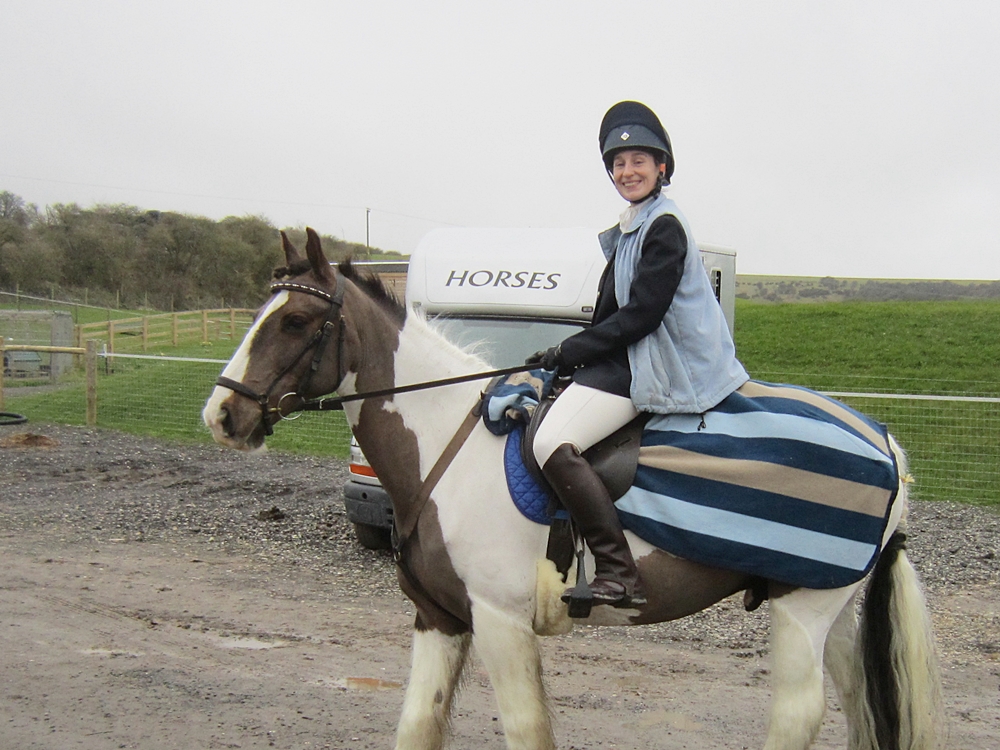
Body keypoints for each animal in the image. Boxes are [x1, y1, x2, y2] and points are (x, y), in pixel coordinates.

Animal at [203, 228, 943, 750]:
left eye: (294, 322)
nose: (222, 414)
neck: (447, 446)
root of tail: (883, 440)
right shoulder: (439, 618)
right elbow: (416, 728)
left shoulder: (499, 622)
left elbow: (525, 731)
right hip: (833, 612)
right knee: (858, 708)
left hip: (802, 608)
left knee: (797, 716)